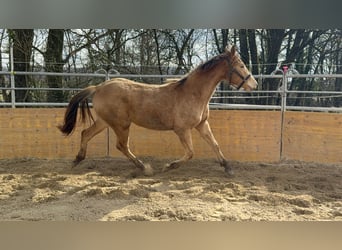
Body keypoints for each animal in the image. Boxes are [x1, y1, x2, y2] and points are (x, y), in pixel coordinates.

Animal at [58, 46, 256, 176]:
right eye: (241, 66)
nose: (254, 85)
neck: (193, 93)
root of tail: (98, 87)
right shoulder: (182, 129)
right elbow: (190, 153)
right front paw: (168, 166)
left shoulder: (202, 124)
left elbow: (215, 144)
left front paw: (228, 168)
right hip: (121, 124)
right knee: (121, 145)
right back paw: (144, 168)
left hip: (105, 121)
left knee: (85, 133)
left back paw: (77, 160)